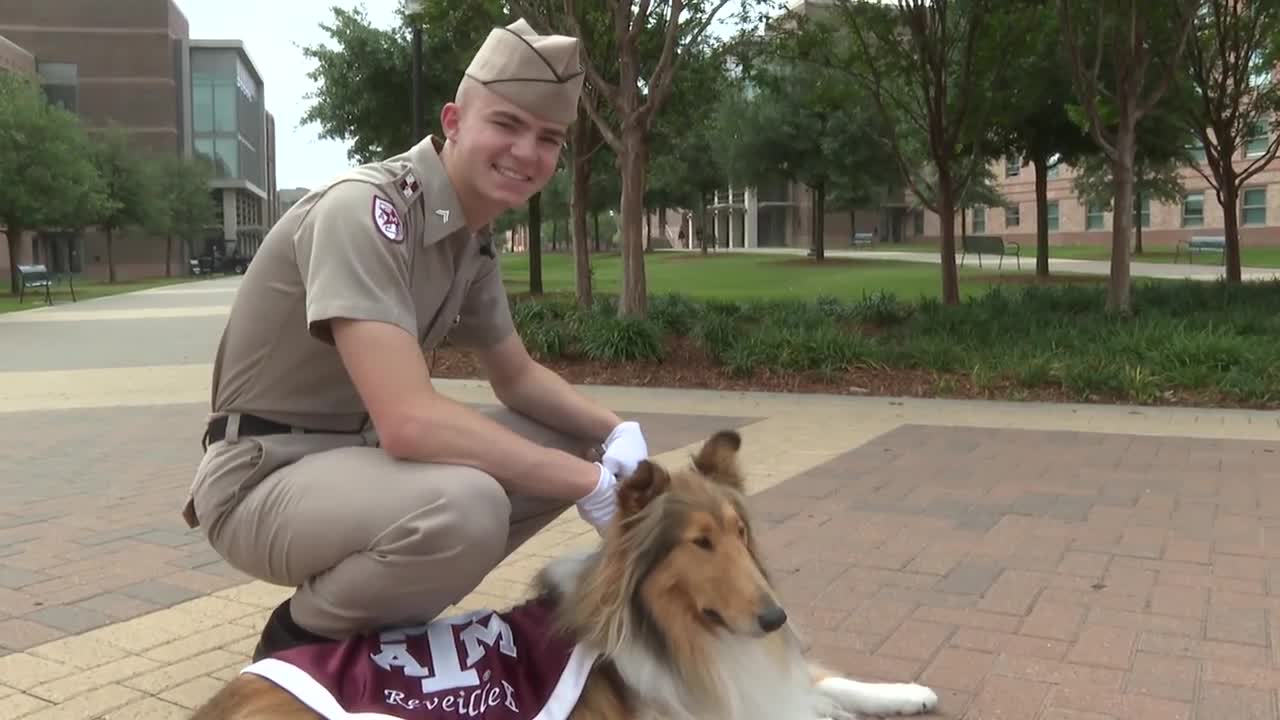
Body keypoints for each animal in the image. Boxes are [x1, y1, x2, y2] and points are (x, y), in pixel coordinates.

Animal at [189, 427, 942, 712]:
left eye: (738, 533)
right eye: (698, 544)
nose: (775, 617)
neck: (681, 637)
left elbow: (828, 683)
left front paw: (907, 692)